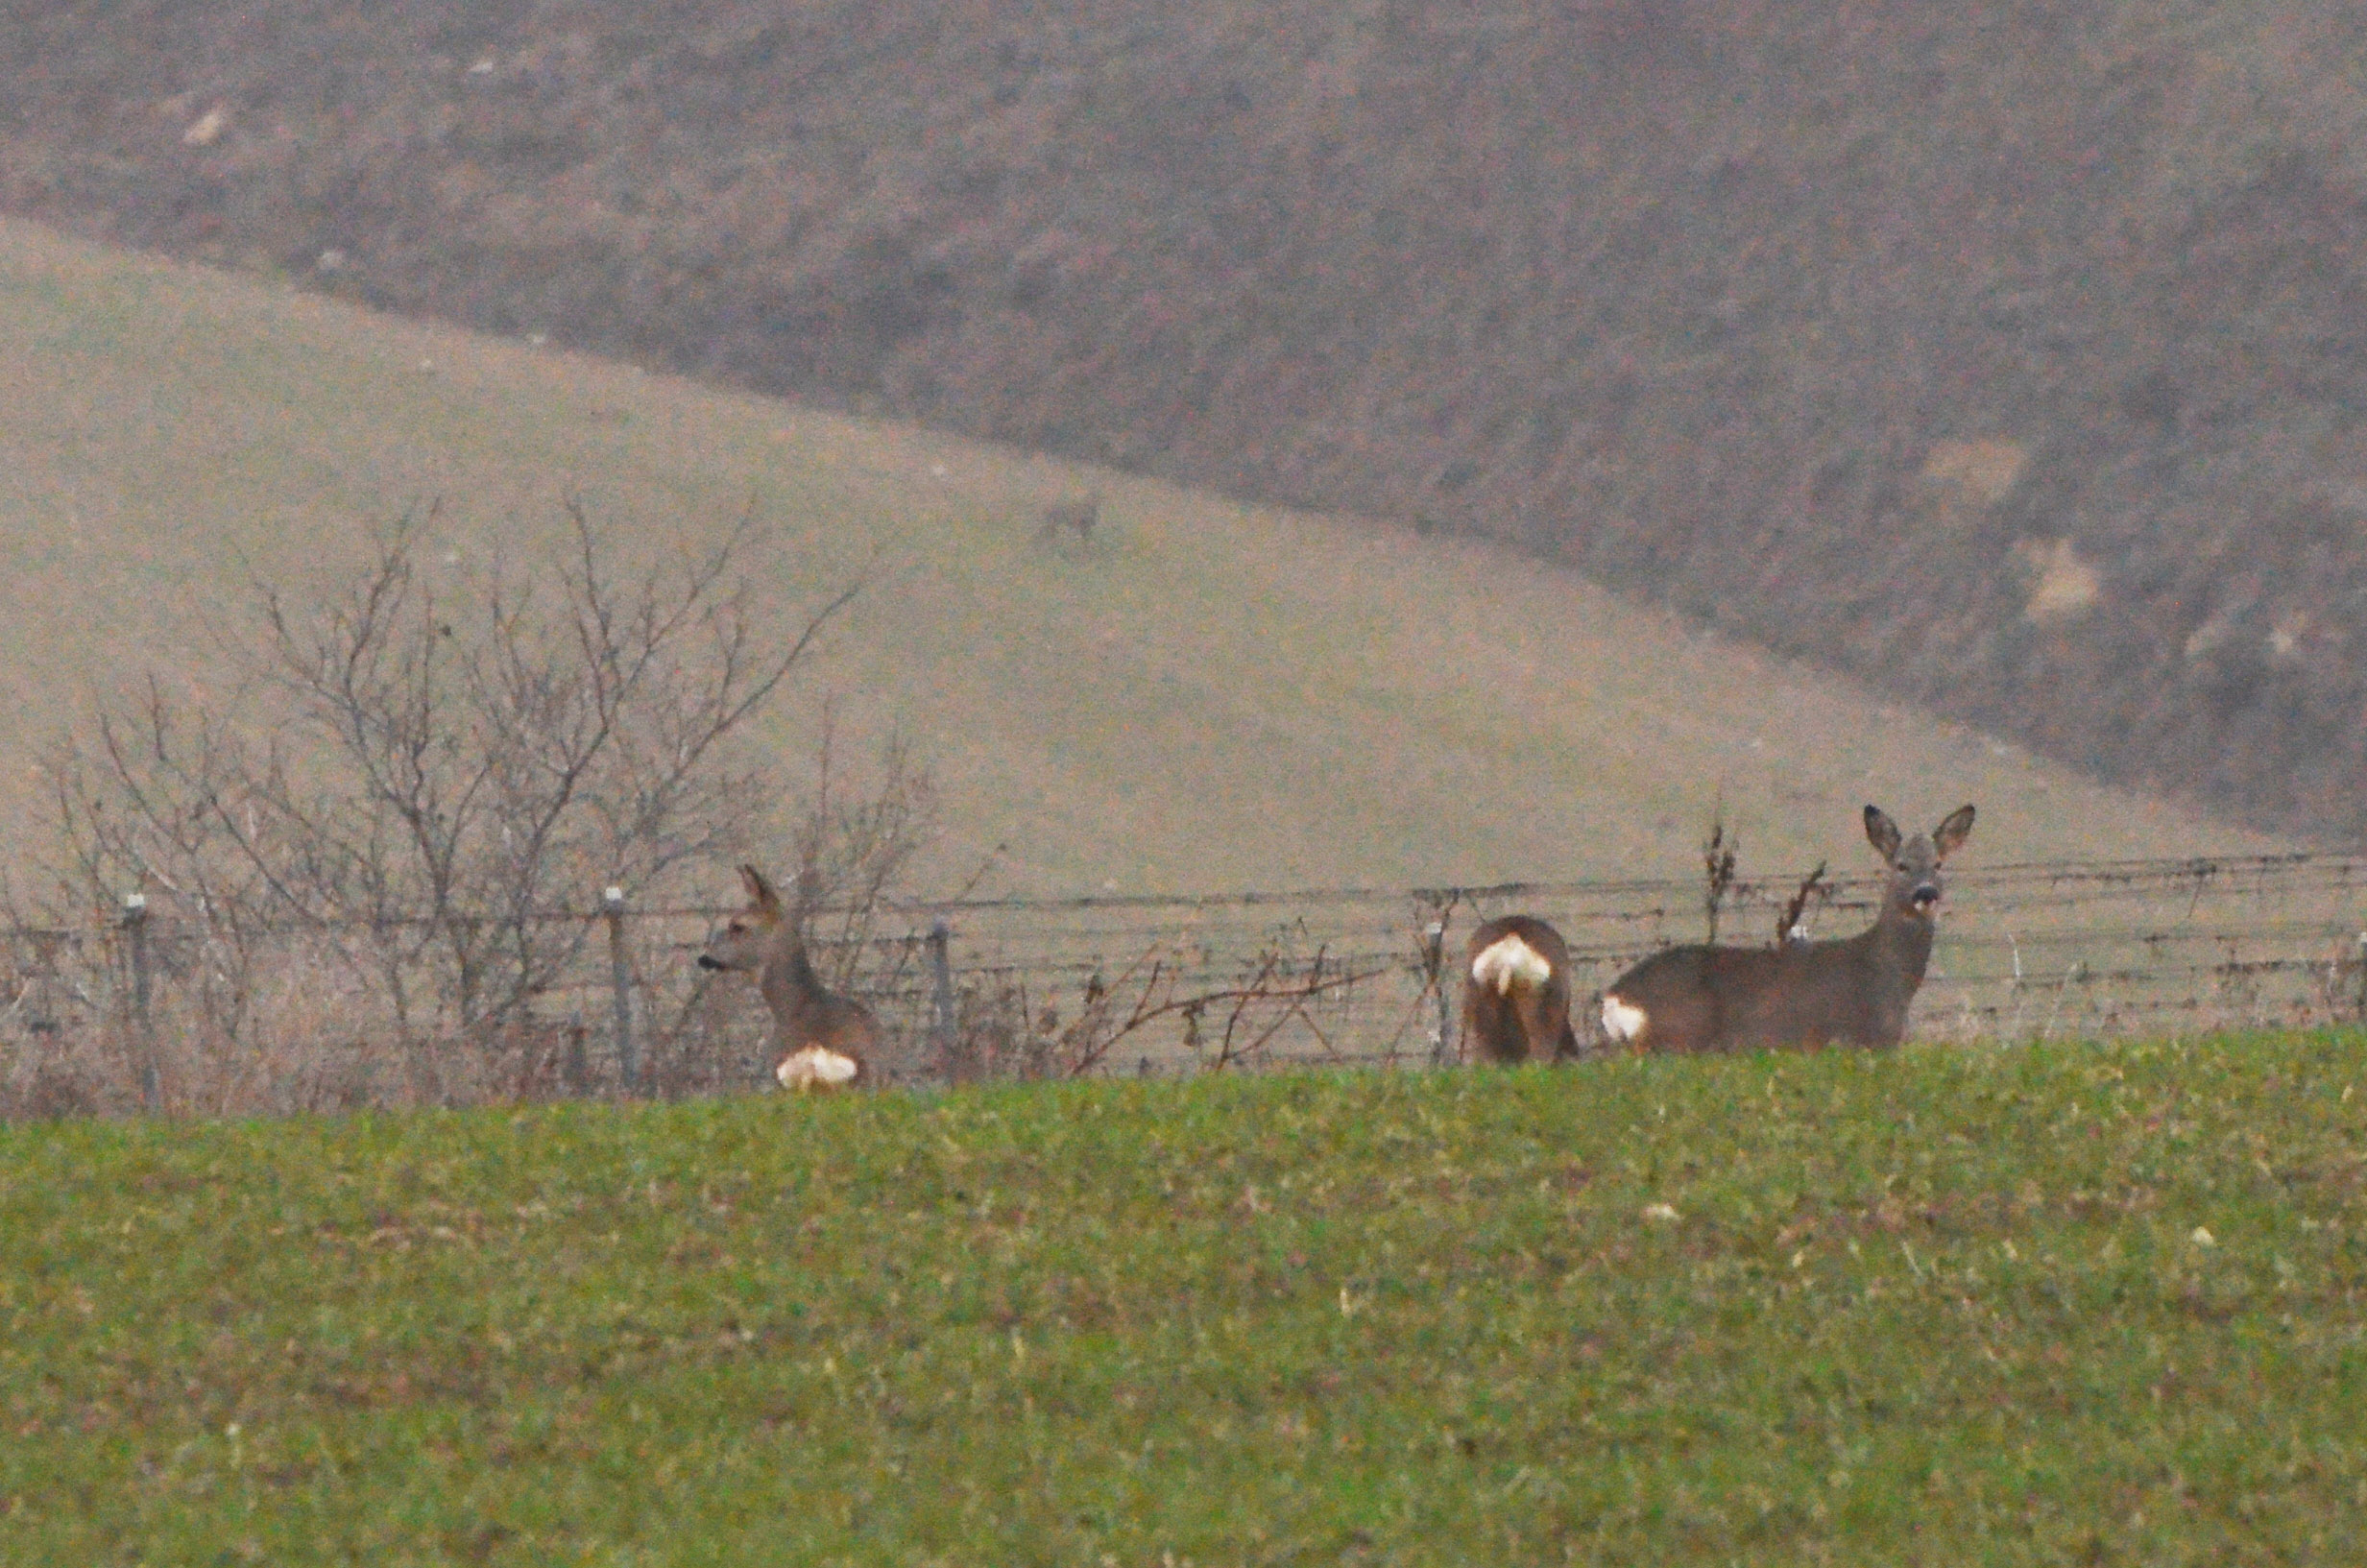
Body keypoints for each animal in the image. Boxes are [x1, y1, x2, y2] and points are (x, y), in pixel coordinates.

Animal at [1598, 804, 1976, 1054]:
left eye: (1938, 864)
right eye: (1901, 865)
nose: (1926, 893)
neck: (1888, 974)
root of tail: (1616, 997)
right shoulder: (1865, 1040)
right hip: (1678, 1038)